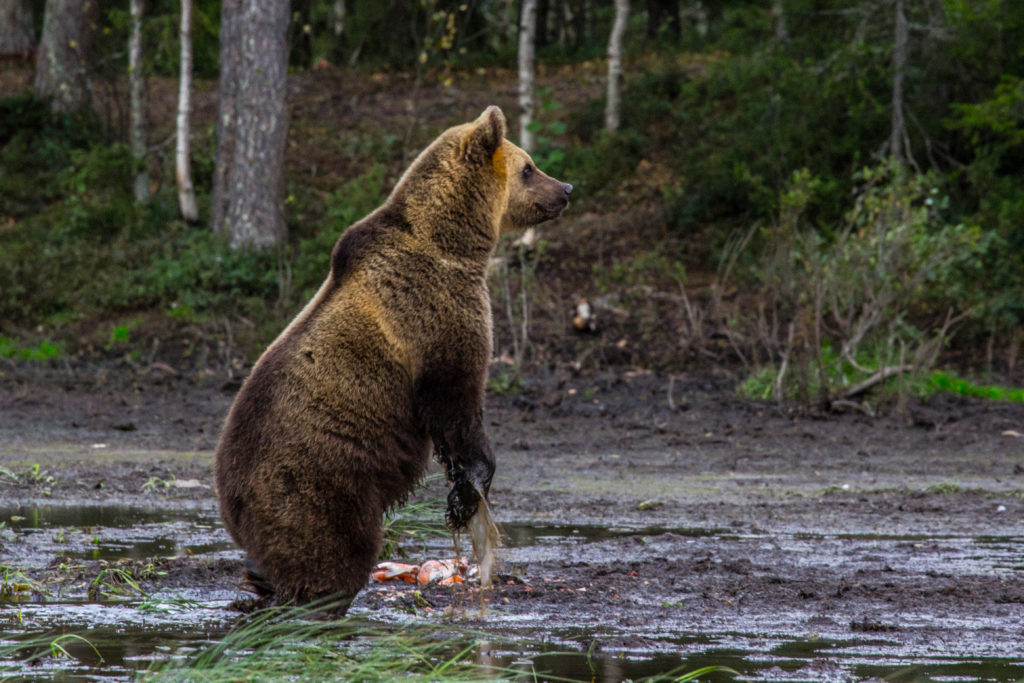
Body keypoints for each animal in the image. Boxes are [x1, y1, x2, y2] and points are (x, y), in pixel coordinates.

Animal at [212, 108, 573, 614]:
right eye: (529, 168)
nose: (566, 188)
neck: (455, 244)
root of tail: (230, 496)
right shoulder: (435, 315)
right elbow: (456, 403)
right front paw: (469, 490)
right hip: (317, 483)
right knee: (332, 554)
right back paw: (315, 604)